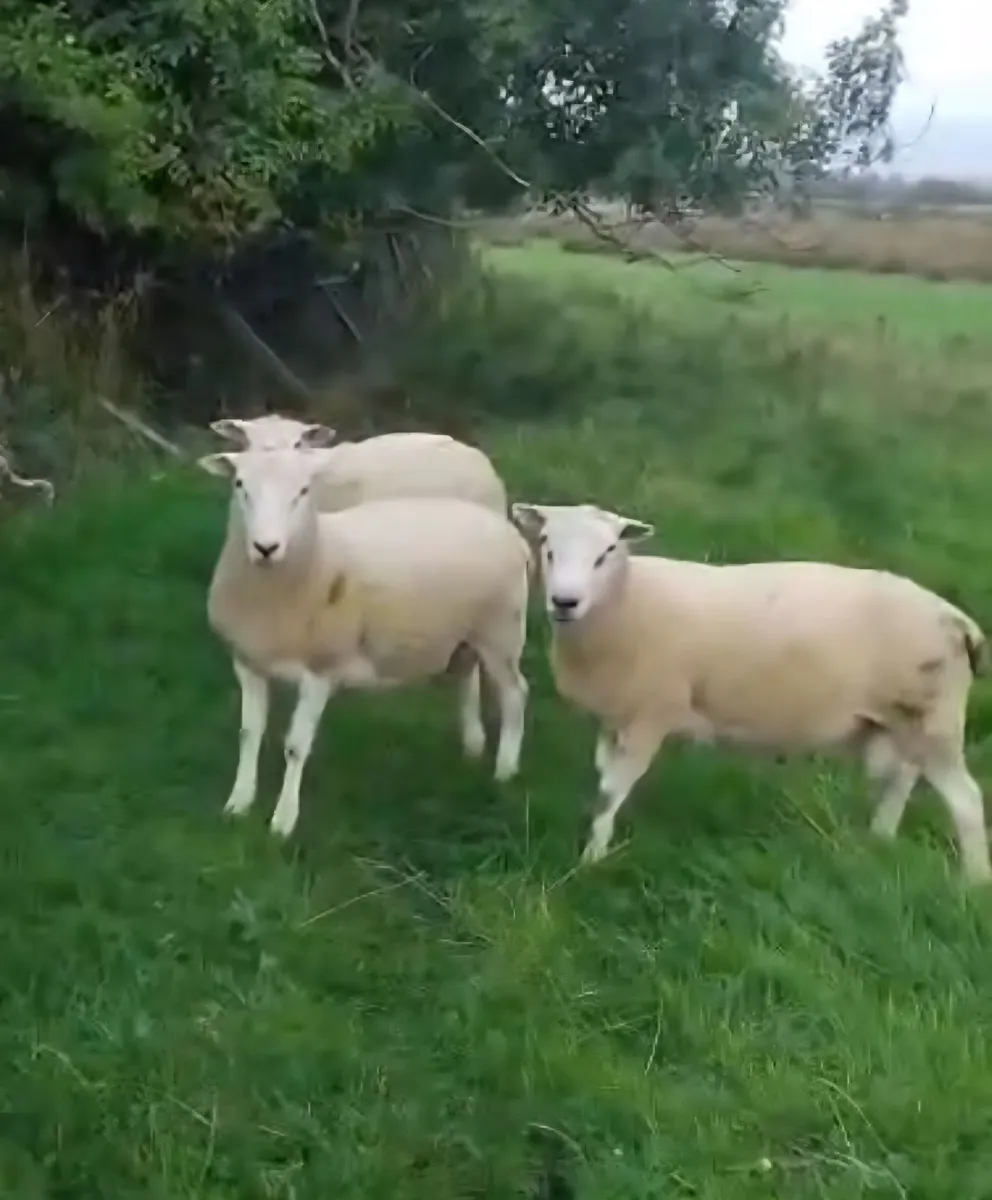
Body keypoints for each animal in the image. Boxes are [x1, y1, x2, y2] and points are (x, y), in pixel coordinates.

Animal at [197, 446, 530, 838]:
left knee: (515, 693)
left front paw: (283, 821)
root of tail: (511, 533)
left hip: (502, 629)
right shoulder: (248, 661)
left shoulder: (321, 668)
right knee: (466, 675)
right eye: (240, 485)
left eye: (304, 491)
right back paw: (473, 748)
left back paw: (505, 770)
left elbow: (295, 746)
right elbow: (248, 733)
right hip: (465, 633)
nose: (266, 547)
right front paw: (238, 802)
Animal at [511, 501, 991, 882]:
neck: (625, 601)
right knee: (904, 777)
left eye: (607, 552)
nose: (564, 602)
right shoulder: (616, 716)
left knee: (966, 801)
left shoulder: (651, 711)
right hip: (905, 716)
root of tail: (957, 619)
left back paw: (973, 882)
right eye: (546, 544)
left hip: (932, 719)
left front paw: (590, 861)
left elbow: (611, 791)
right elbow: (603, 779)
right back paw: (880, 838)